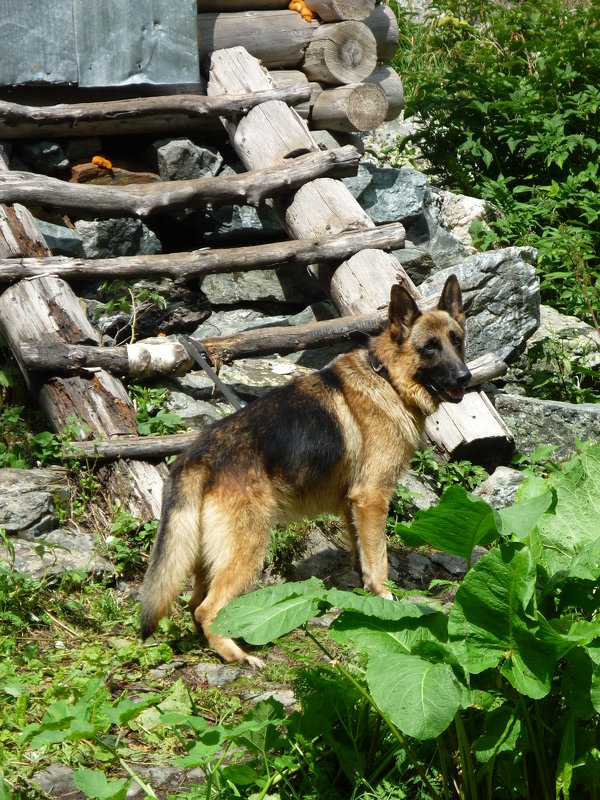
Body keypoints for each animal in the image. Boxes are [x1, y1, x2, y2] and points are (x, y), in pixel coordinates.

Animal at [141, 276, 468, 668]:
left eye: (457, 340)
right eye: (430, 347)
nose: (465, 377)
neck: (387, 377)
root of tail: (198, 454)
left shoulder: (352, 506)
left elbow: (363, 556)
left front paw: (365, 597)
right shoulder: (372, 499)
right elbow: (379, 558)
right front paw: (386, 599)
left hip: (211, 555)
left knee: (194, 605)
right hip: (249, 549)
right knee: (207, 609)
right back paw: (238, 655)